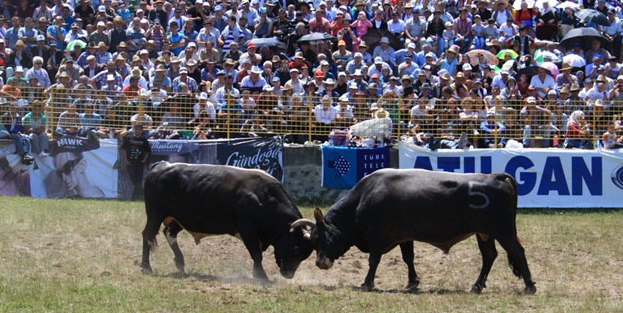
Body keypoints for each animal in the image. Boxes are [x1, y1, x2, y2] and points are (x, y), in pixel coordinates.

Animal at [143, 161, 316, 278]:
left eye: (305, 254)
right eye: (296, 248)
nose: (288, 274)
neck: (265, 197)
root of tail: (161, 165)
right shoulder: (248, 230)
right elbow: (256, 254)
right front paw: (261, 276)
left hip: (179, 219)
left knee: (169, 233)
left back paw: (180, 263)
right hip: (155, 215)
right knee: (148, 235)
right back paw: (146, 267)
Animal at [294, 168, 540, 292]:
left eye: (321, 236)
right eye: (312, 241)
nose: (321, 263)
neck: (363, 198)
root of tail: (495, 176)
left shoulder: (377, 236)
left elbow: (374, 260)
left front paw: (367, 283)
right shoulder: (404, 236)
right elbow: (408, 258)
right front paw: (412, 282)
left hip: (503, 230)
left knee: (517, 252)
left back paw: (529, 285)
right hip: (485, 233)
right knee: (489, 256)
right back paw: (477, 286)